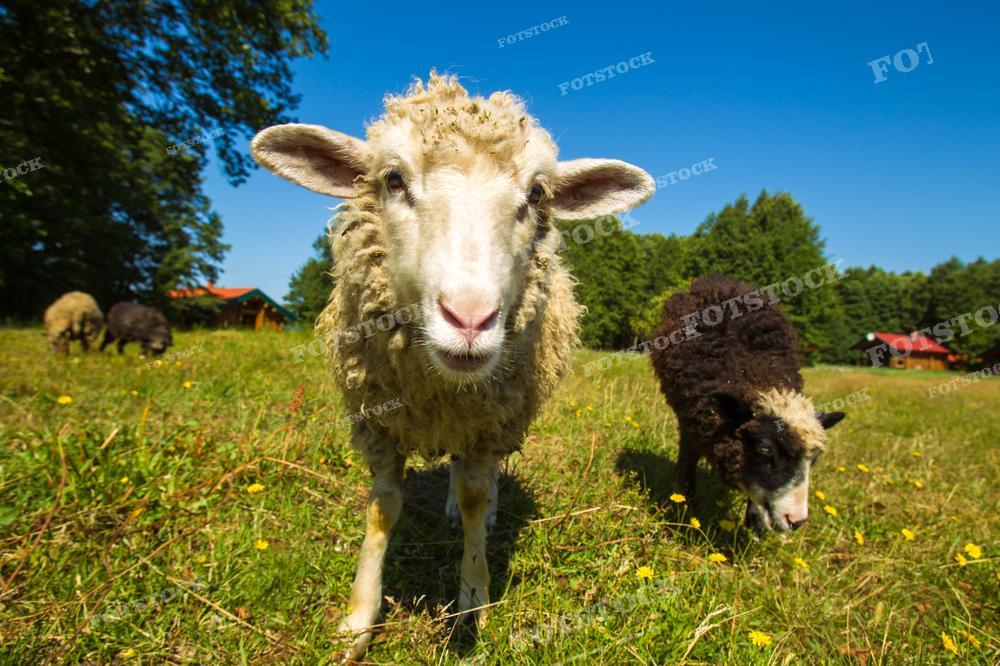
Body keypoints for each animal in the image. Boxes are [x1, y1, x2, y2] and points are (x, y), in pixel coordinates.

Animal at [251, 72, 654, 659]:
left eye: (536, 194)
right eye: (393, 179)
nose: (469, 319)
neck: (438, 390)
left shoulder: (488, 422)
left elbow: (471, 496)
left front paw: (472, 598)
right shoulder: (377, 423)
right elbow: (383, 508)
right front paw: (358, 621)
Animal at [649, 275, 845, 534]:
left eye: (813, 461)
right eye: (764, 449)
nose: (796, 520)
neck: (750, 370)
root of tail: (723, 279)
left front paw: (754, 525)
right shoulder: (692, 422)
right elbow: (687, 466)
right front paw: (684, 509)